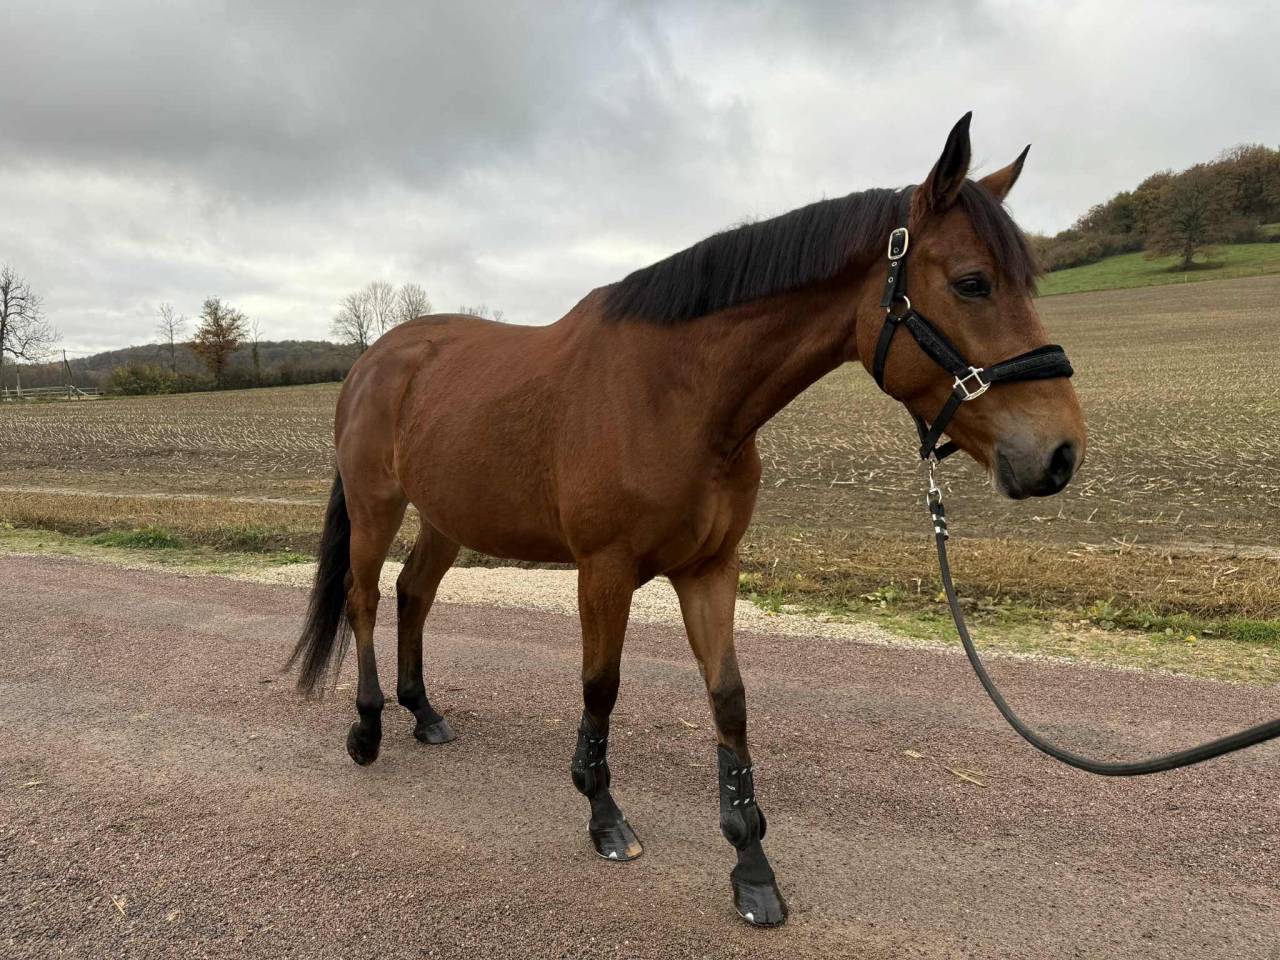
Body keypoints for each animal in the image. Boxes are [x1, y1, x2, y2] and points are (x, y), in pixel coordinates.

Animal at [287, 112, 1086, 927]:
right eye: (971, 282)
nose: (1058, 454)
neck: (680, 396)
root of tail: (372, 360)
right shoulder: (604, 570)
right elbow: (600, 685)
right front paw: (603, 814)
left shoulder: (710, 568)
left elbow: (729, 700)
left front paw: (751, 863)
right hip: (377, 506)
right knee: (364, 598)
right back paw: (368, 727)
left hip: (447, 517)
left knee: (414, 594)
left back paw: (423, 713)